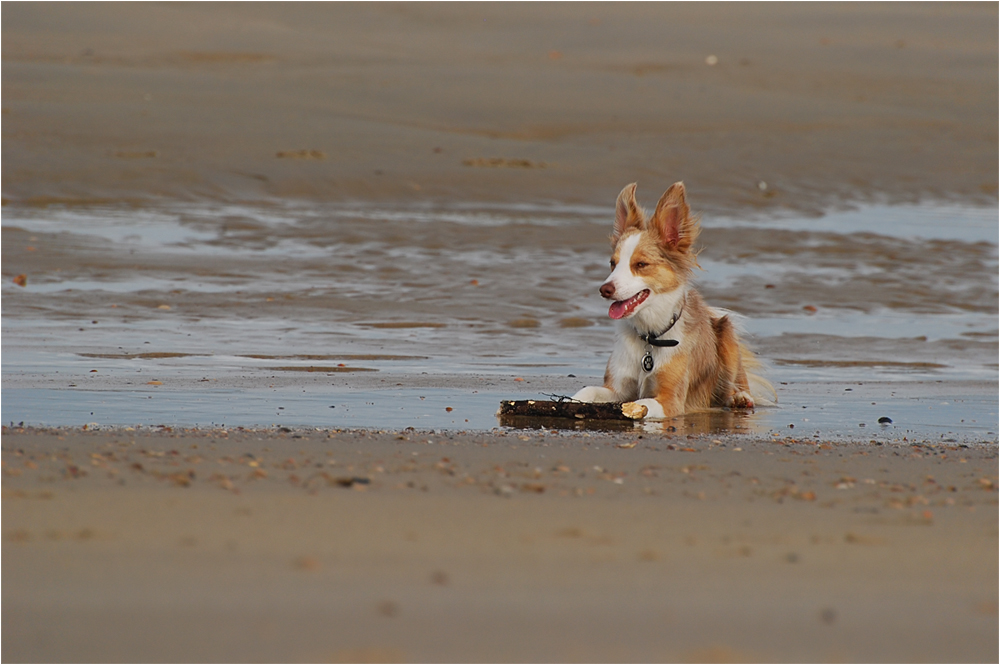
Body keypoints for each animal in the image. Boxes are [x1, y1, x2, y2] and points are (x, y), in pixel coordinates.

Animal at [572, 182, 772, 420]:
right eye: (613, 263)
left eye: (641, 264)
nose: (605, 290)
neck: (650, 338)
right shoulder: (616, 388)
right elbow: (587, 390)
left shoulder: (671, 400)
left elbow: (641, 403)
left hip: (727, 333)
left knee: (737, 382)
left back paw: (740, 398)